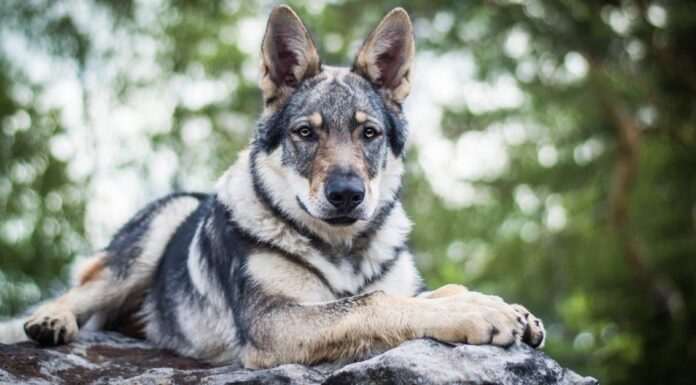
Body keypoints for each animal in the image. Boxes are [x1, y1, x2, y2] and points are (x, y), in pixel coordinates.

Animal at [14, 5, 544, 366]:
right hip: (147, 246)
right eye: (306, 133)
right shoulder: (275, 323)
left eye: (368, 133)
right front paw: (479, 314)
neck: (343, 253)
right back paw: (51, 320)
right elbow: (376, 303)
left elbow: (424, 292)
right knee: (82, 290)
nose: (346, 194)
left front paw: (504, 306)